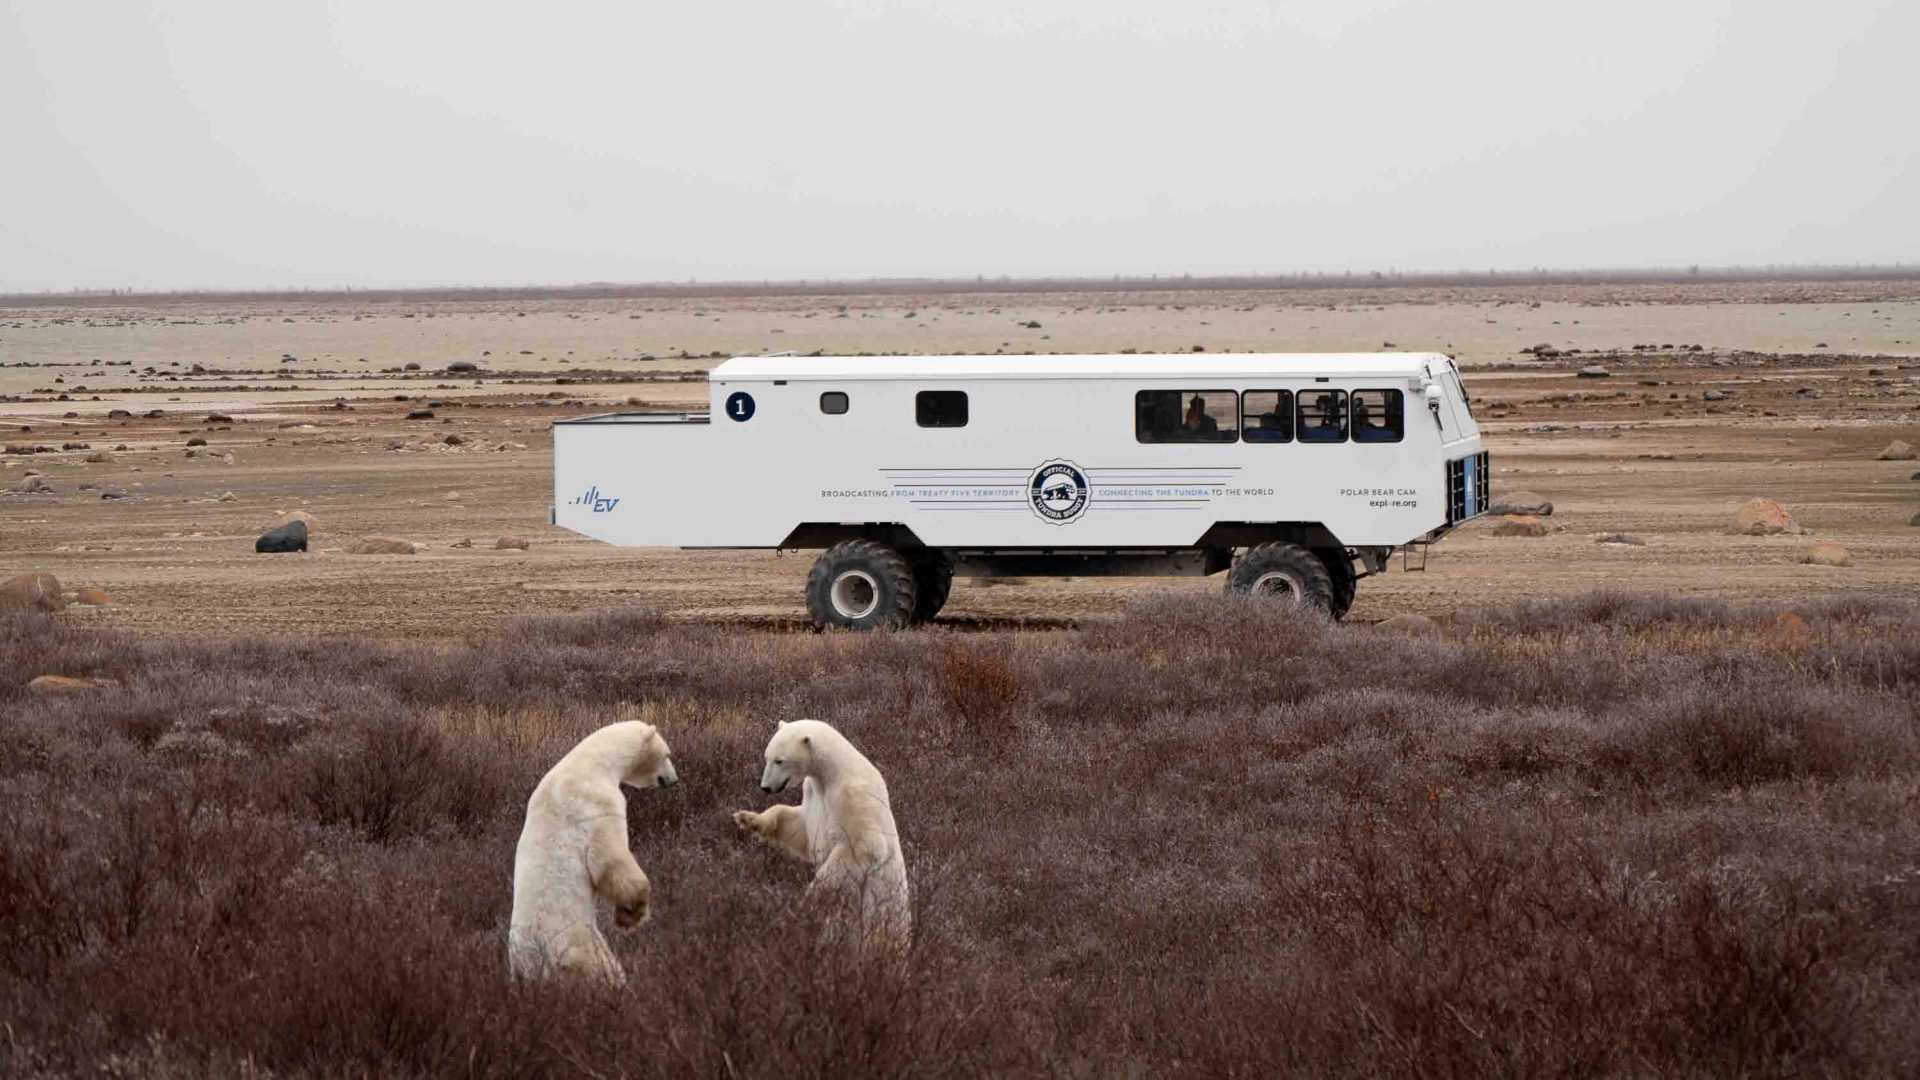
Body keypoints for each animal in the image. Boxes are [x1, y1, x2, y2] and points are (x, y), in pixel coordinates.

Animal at [508, 720, 678, 984]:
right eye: (667, 754)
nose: (673, 780)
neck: (590, 763)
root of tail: (531, 960)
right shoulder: (598, 803)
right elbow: (610, 859)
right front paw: (632, 913)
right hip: (573, 938)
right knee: (598, 964)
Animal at [733, 719, 910, 946]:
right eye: (767, 757)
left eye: (780, 760)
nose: (765, 787)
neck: (833, 772)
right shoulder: (813, 793)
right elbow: (800, 829)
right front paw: (748, 819)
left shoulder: (853, 797)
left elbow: (864, 845)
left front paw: (811, 894)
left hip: (884, 917)